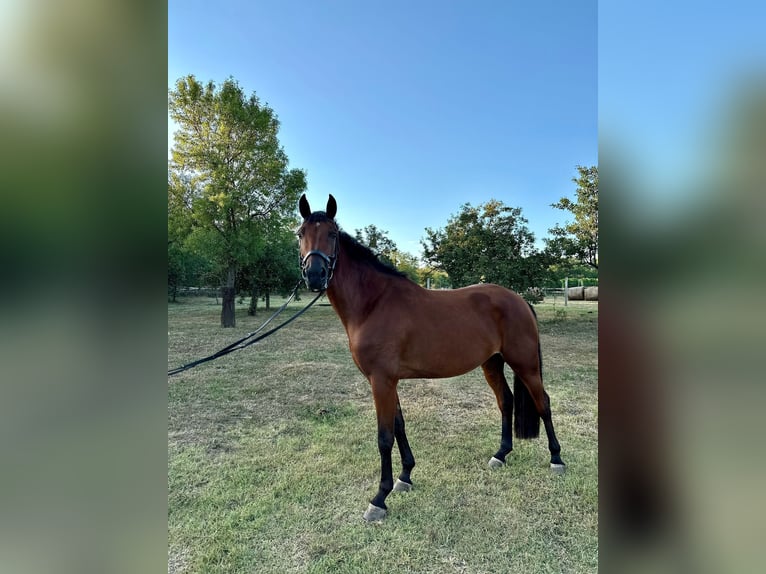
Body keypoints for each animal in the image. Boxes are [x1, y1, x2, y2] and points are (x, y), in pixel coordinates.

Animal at [298, 196, 564, 524]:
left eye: (332, 234)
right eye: (300, 233)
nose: (315, 275)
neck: (373, 303)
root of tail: (519, 299)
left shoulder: (381, 381)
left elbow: (384, 436)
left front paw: (379, 499)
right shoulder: (388, 381)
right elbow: (399, 426)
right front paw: (405, 478)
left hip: (525, 363)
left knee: (543, 403)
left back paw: (556, 459)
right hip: (492, 363)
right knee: (506, 401)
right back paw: (500, 455)